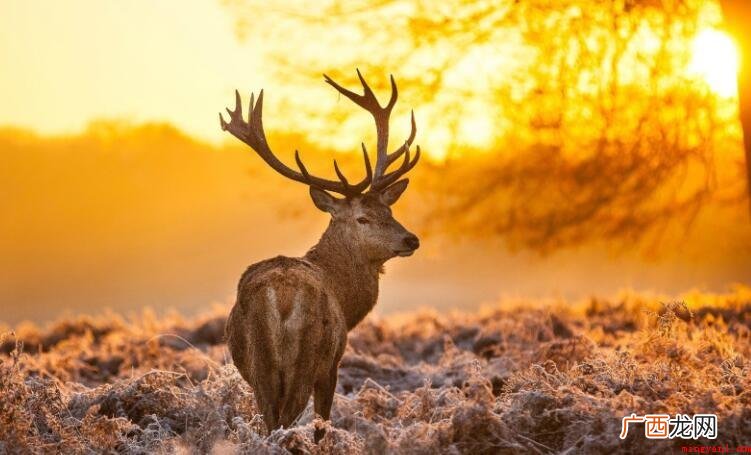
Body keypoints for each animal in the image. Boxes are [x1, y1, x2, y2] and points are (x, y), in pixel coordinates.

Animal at [220, 70, 421, 438]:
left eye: (389, 211)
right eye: (363, 218)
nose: (411, 239)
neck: (345, 299)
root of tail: (281, 297)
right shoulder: (332, 364)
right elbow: (322, 422)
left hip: (259, 366)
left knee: (270, 421)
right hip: (308, 357)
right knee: (285, 420)